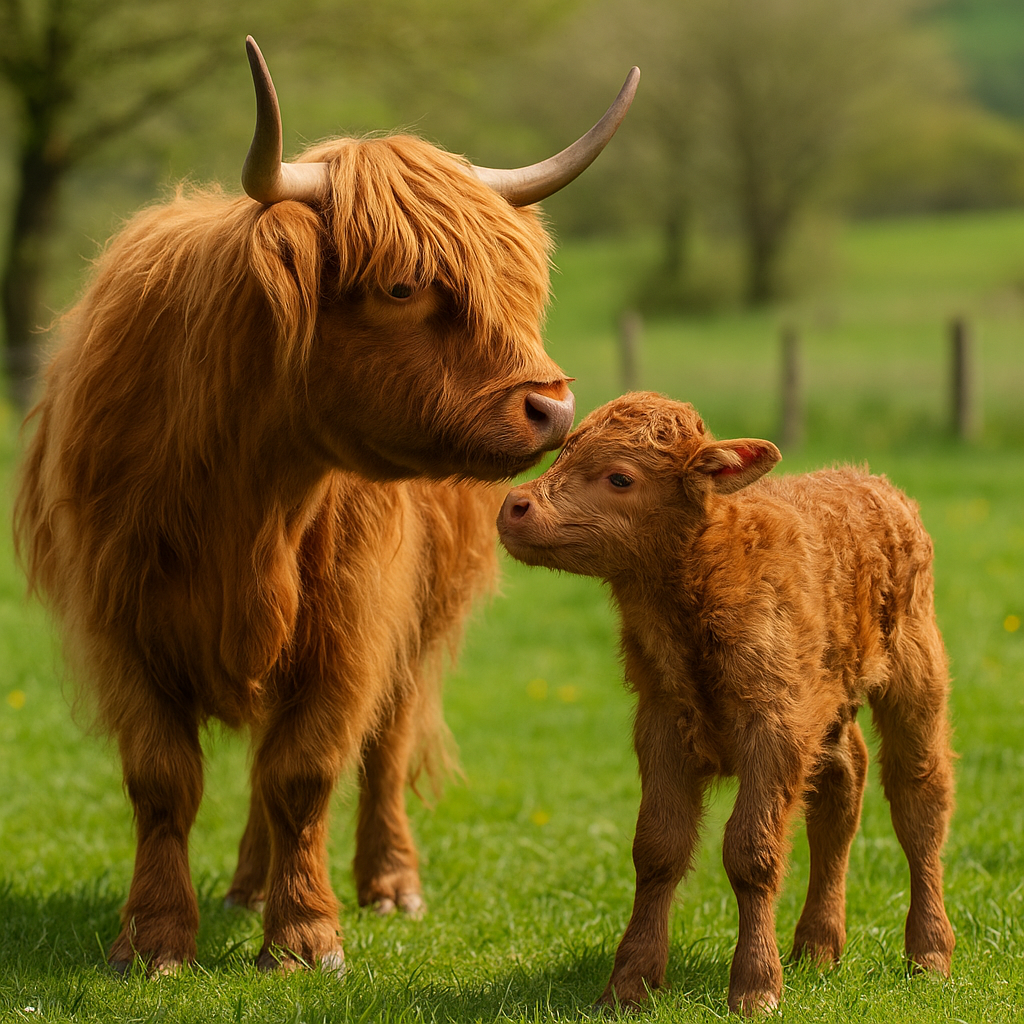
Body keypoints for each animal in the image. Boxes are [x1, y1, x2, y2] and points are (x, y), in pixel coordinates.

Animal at [13, 38, 639, 976]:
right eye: (402, 287)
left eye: (516, 283)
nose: (553, 408)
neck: (249, 495)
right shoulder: (119, 619)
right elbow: (164, 779)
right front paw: (155, 938)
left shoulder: (349, 621)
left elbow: (304, 772)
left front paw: (306, 937)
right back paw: (246, 886)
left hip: (415, 626)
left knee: (384, 747)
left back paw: (389, 885)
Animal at [497, 393, 955, 1015]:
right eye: (563, 453)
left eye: (620, 477)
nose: (514, 505)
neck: (706, 583)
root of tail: (867, 480)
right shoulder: (663, 724)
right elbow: (658, 849)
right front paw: (630, 984)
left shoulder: (774, 729)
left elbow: (751, 853)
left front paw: (756, 987)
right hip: (829, 707)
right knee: (840, 796)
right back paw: (817, 947)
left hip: (916, 677)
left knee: (919, 802)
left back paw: (929, 955)